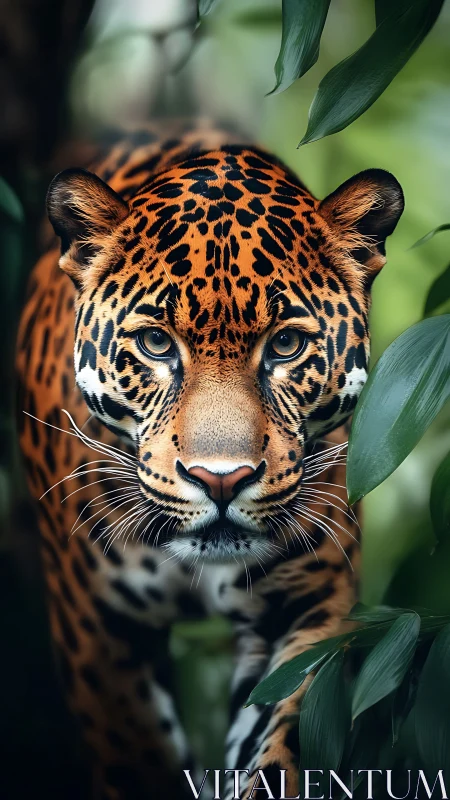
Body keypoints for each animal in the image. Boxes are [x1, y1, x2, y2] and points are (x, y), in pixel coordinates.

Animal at [16, 121, 404, 800]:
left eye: (285, 344)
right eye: (155, 343)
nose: (220, 481)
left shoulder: (310, 607)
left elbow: (282, 743)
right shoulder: (95, 626)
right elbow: (136, 756)